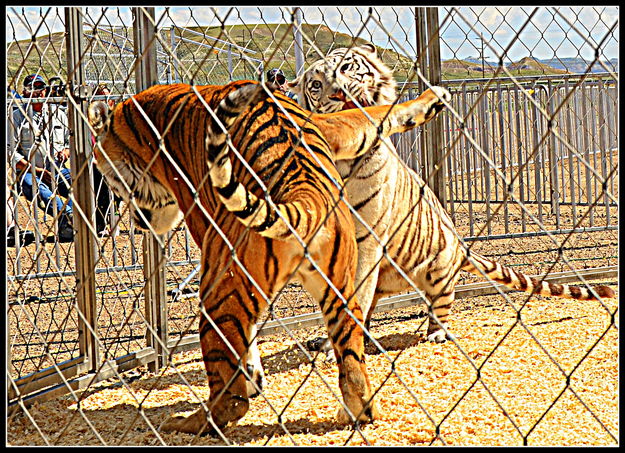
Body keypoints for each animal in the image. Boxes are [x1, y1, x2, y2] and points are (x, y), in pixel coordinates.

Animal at [88, 79, 448, 432]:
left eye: (110, 181)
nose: (138, 221)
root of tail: (306, 198)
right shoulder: (331, 126)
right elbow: (373, 117)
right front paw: (433, 99)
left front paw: (251, 378)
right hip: (341, 289)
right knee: (351, 353)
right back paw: (358, 411)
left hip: (218, 291)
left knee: (230, 395)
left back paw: (194, 421)